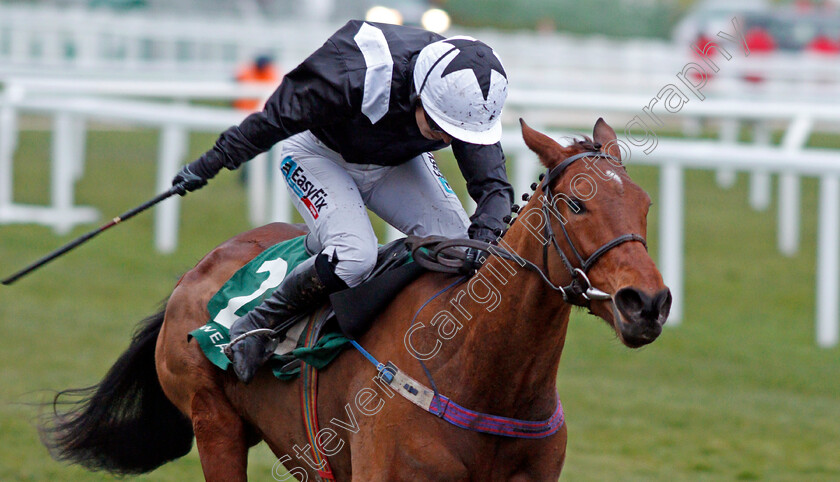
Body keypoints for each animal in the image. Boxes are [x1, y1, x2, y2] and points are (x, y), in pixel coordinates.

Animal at [42, 118, 668, 480]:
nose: (648, 303)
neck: (479, 370)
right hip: (214, 423)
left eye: (644, 204)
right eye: (576, 204)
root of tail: (193, 273)